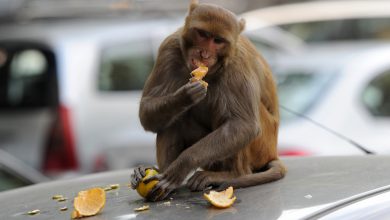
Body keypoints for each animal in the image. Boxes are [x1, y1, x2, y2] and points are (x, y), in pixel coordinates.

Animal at [131, 0, 286, 201]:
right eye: (203, 34)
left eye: (218, 40)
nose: (204, 54)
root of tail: (273, 152)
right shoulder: (169, 48)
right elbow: (146, 111)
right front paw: (183, 97)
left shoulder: (237, 63)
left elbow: (244, 125)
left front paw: (181, 166)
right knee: (175, 119)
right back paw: (162, 176)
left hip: (262, 147)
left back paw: (233, 174)